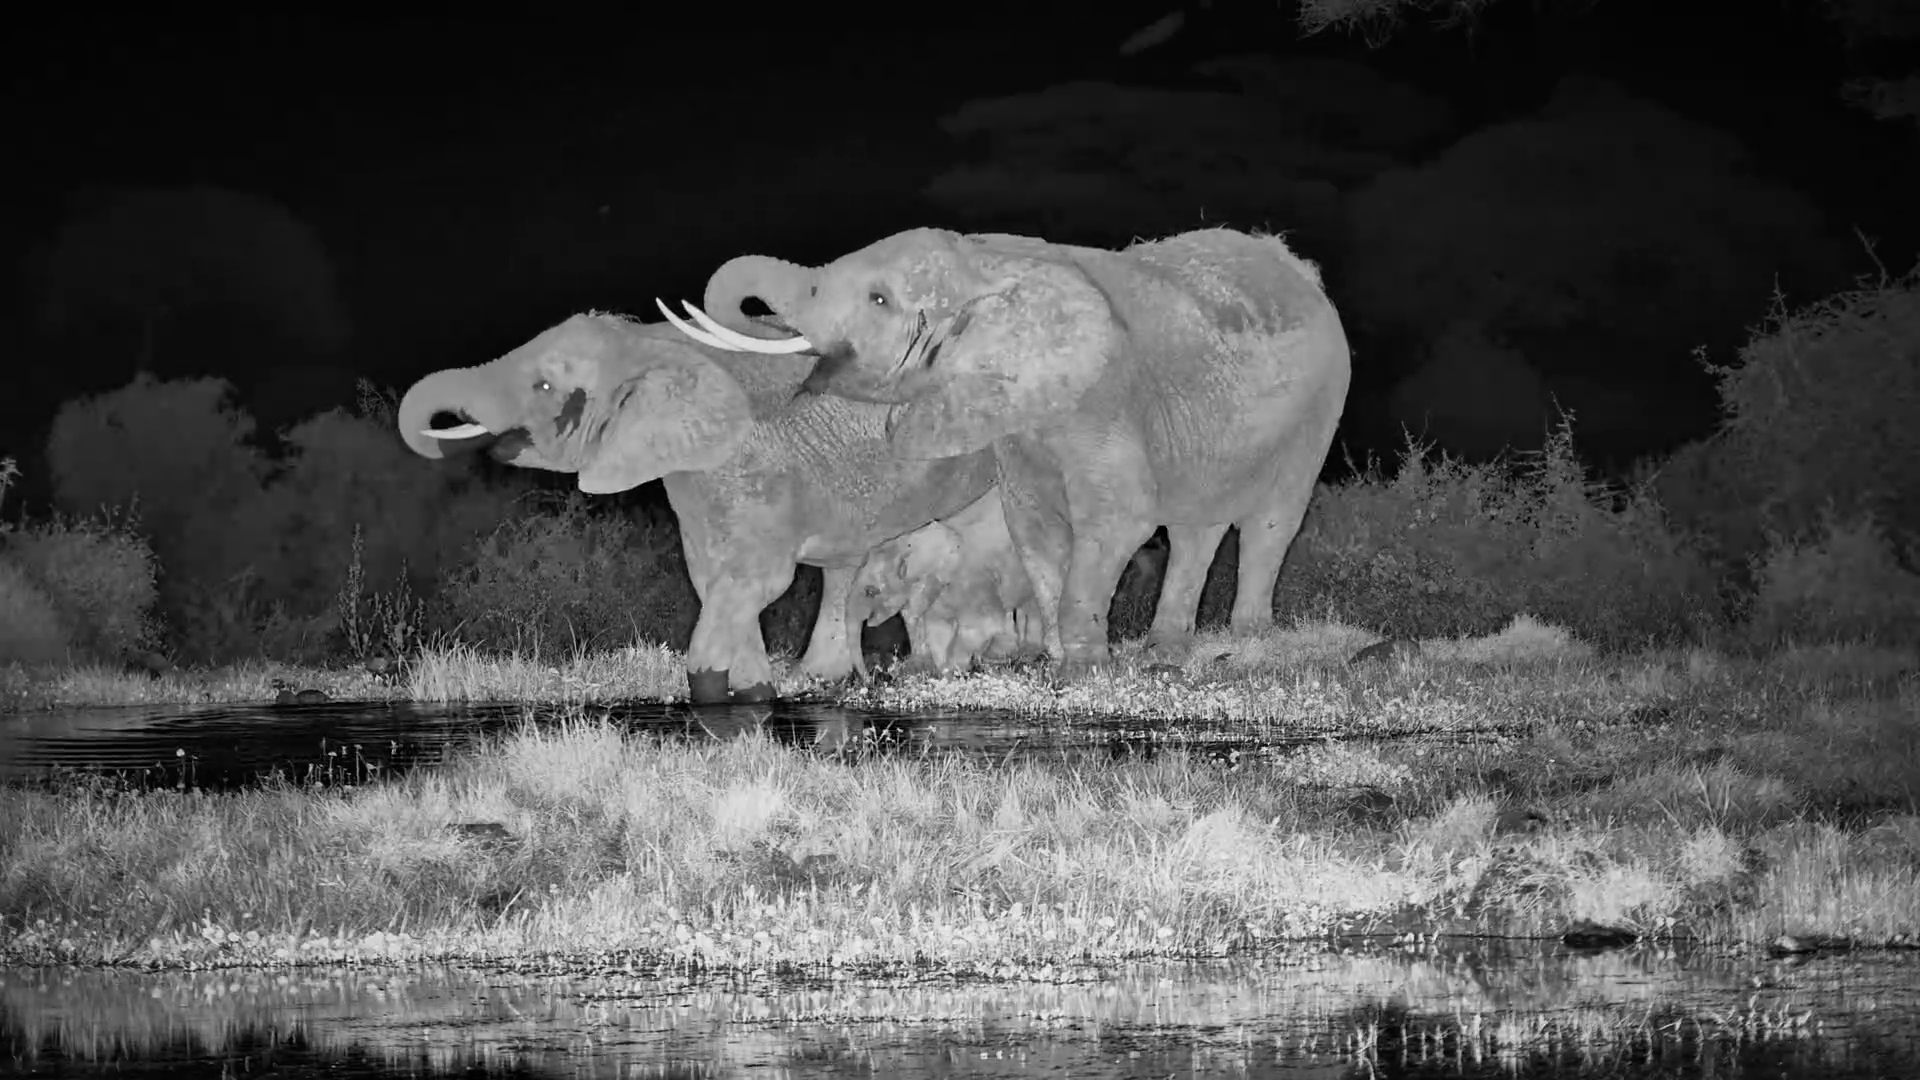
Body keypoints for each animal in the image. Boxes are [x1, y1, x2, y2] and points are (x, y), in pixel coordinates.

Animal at [396, 311, 997, 704]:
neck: (650, 343)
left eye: (544, 385)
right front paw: (755, 697)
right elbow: (712, 580)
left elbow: (757, 581)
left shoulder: (751, 466)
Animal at [845, 486, 1046, 678]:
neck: (912, 542)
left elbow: (981, 626)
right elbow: (939, 630)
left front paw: (956, 670)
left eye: (870, 591)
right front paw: (945, 674)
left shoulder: (972, 579)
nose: (870, 679)